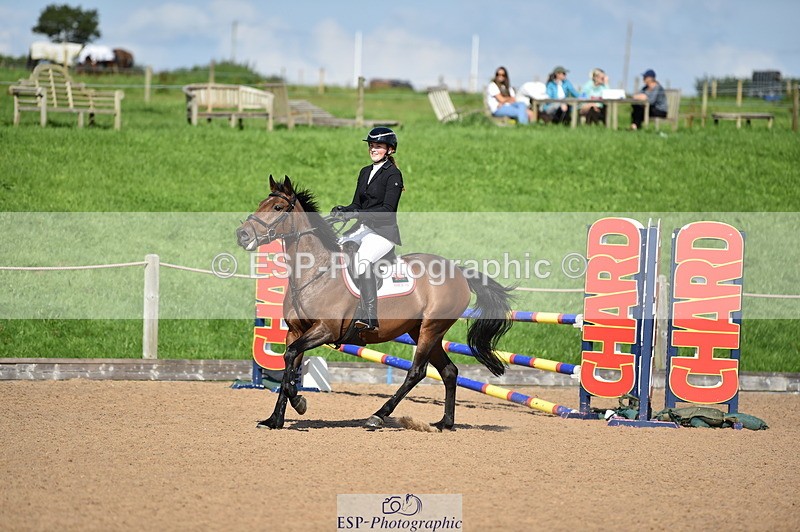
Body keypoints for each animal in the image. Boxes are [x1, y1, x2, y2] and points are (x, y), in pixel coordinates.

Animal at [235, 176, 514, 431]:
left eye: (277, 208)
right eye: (261, 204)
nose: (242, 235)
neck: (315, 272)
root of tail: (459, 272)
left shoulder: (325, 330)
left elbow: (291, 359)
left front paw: (300, 403)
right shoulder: (295, 331)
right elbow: (288, 363)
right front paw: (274, 420)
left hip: (431, 328)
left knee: (416, 372)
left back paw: (378, 416)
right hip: (422, 331)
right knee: (449, 371)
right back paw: (445, 423)